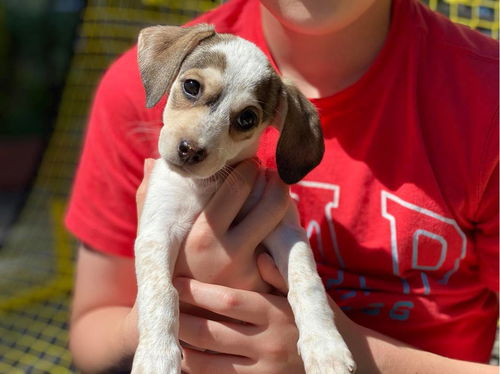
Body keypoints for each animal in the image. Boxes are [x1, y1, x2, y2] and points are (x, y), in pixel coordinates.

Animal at [131, 24, 354, 374]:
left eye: (247, 119)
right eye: (191, 86)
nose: (190, 151)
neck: (206, 187)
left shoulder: (286, 233)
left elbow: (307, 283)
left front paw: (325, 347)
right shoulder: (157, 232)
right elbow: (160, 292)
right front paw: (157, 355)